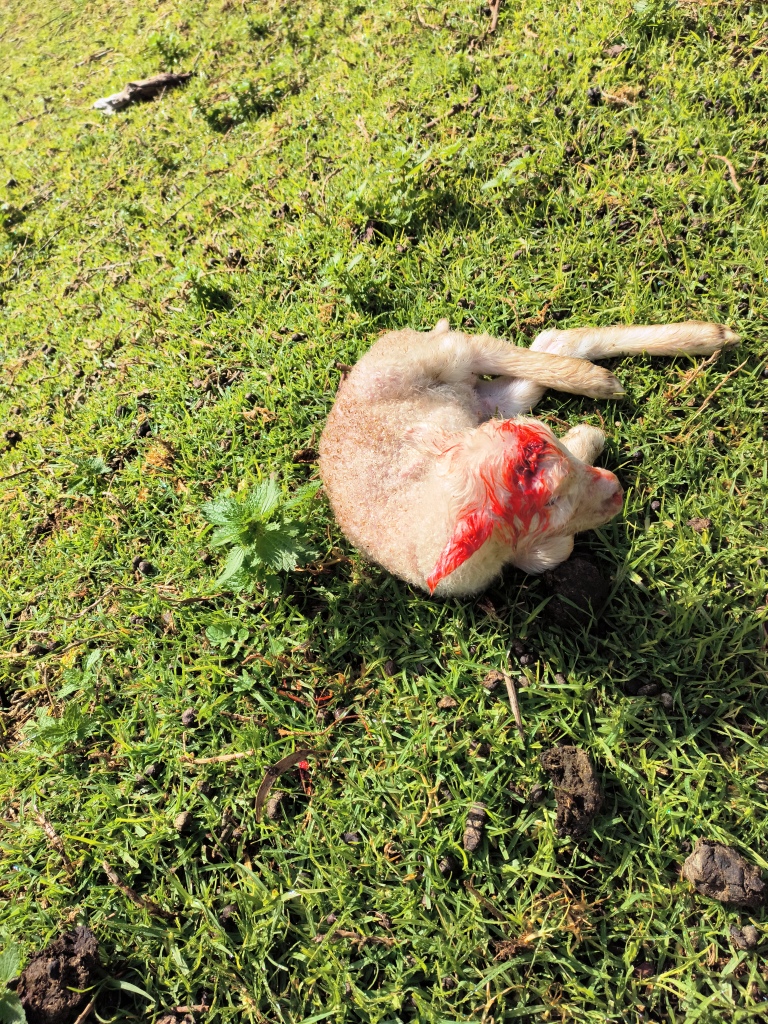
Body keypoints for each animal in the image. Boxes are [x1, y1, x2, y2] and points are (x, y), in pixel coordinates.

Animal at [319, 318, 739, 597]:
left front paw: (586, 436)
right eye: (549, 502)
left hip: (431, 357)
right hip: (477, 395)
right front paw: (588, 437)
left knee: (493, 350)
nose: (617, 490)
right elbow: (548, 555)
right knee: (547, 345)